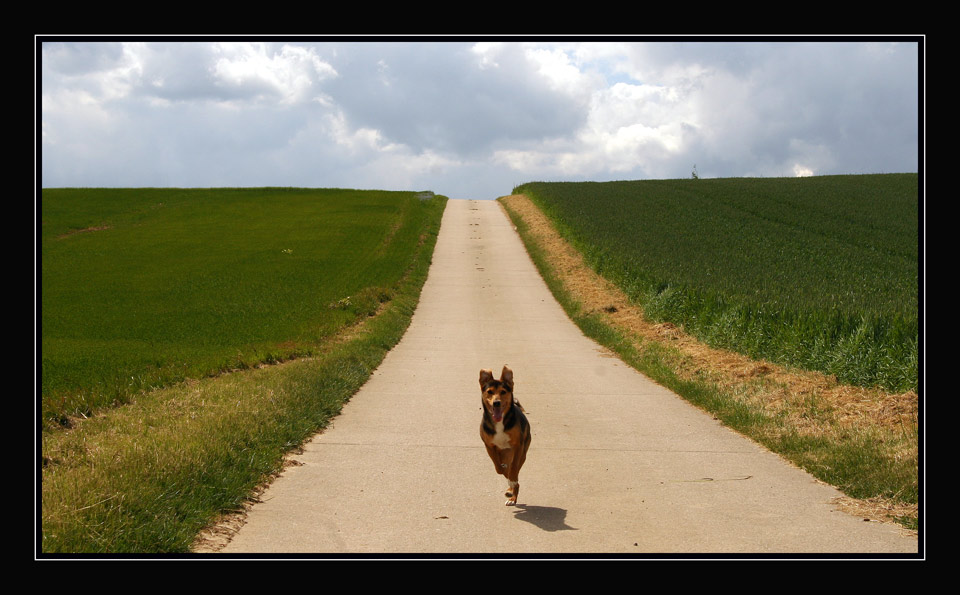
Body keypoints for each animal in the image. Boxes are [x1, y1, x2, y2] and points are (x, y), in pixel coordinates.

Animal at [480, 366, 532, 506]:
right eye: (489, 391)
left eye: (503, 392)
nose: (496, 403)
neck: (500, 422)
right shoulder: (489, 446)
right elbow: (498, 468)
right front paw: (505, 474)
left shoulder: (518, 446)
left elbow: (513, 470)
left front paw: (512, 481)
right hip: (504, 454)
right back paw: (510, 491)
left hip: (522, 454)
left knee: (515, 470)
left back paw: (513, 495)